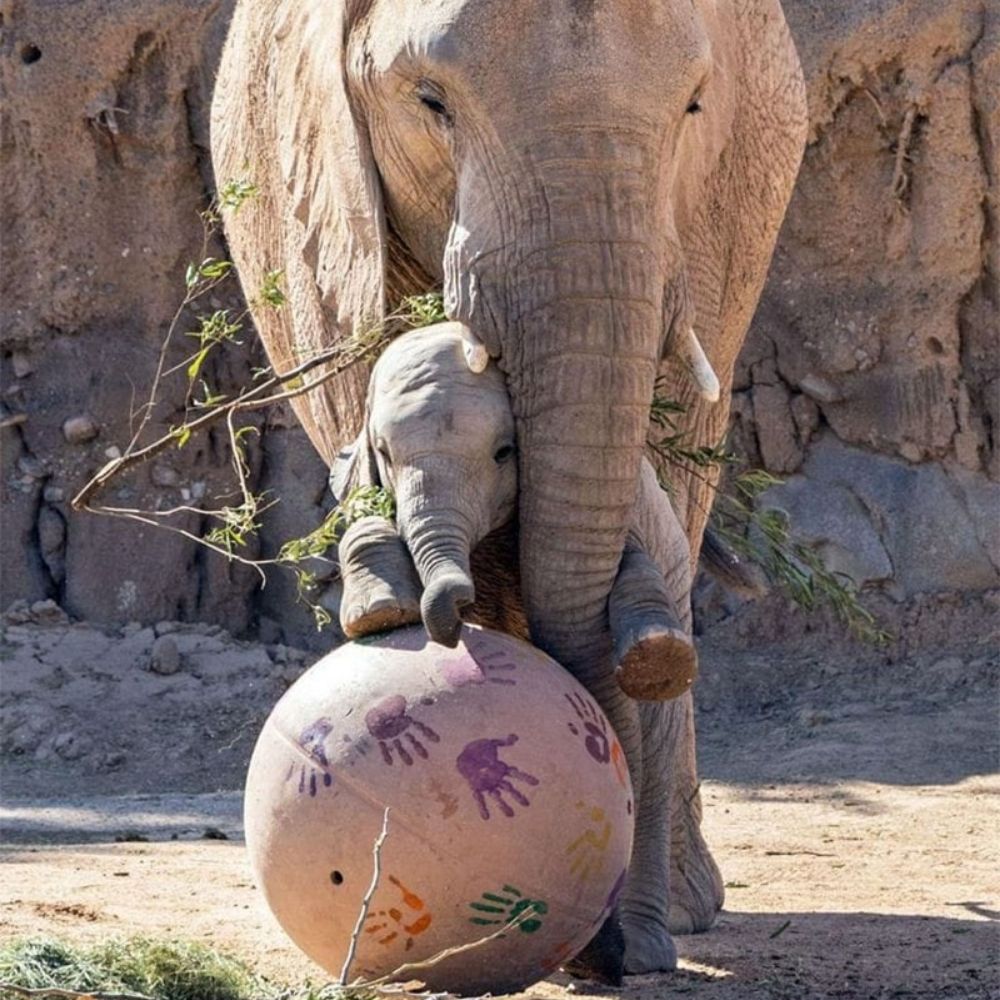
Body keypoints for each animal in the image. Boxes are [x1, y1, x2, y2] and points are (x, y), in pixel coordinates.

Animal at [332, 324, 700, 700]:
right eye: (384, 453)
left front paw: (655, 655)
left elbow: (631, 554)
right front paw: (381, 614)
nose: (458, 613)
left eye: (504, 453)